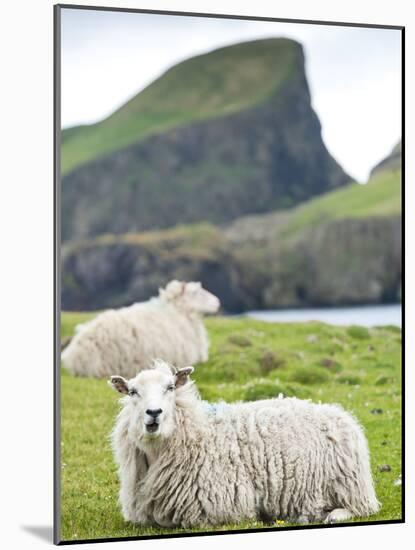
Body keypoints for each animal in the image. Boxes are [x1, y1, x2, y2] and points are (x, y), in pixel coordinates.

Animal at [109, 362, 380, 532]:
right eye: (132, 392)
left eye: (171, 387)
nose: (154, 413)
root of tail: (340, 413)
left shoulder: (222, 508)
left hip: (349, 485)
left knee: (362, 508)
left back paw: (331, 515)